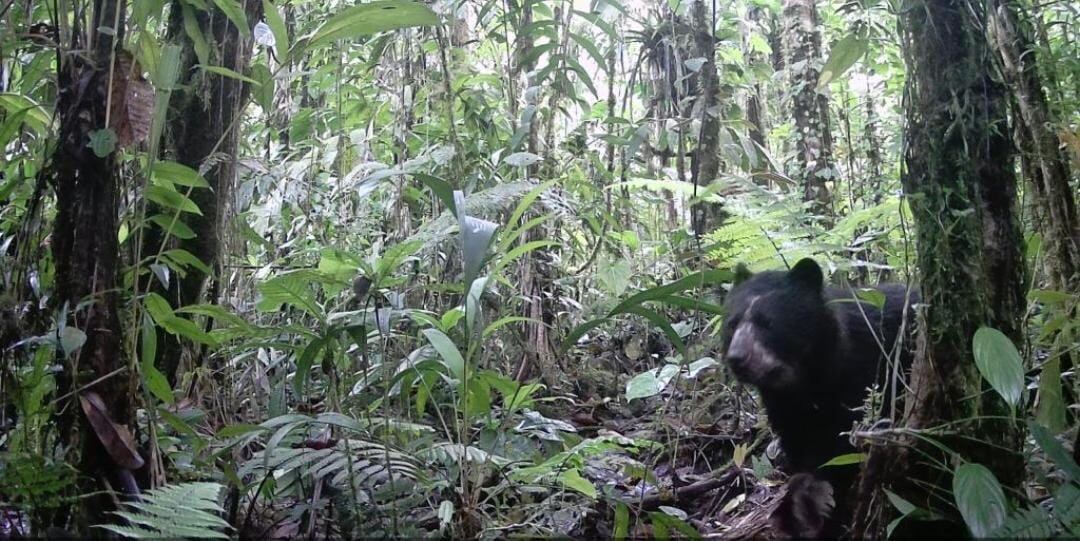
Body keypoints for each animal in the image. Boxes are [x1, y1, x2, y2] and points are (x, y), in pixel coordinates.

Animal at [719, 258, 918, 537]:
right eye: (732, 323)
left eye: (768, 322)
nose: (737, 358)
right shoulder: (783, 405)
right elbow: (799, 442)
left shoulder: (865, 374)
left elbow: (843, 443)